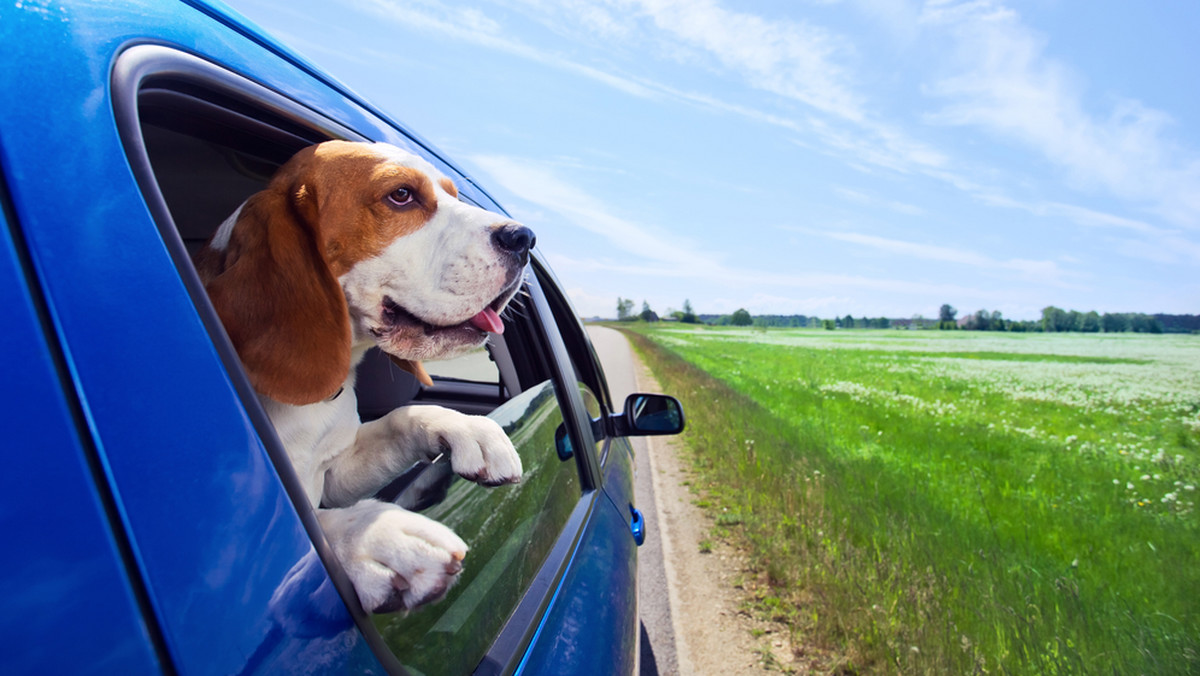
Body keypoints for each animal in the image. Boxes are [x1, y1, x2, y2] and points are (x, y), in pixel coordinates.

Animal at [196, 140, 535, 614]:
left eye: (452, 194)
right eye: (401, 195)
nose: (524, 238)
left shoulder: (337, 473)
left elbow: (401, 418)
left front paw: (469, 428)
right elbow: (319, 528)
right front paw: (377, 536)